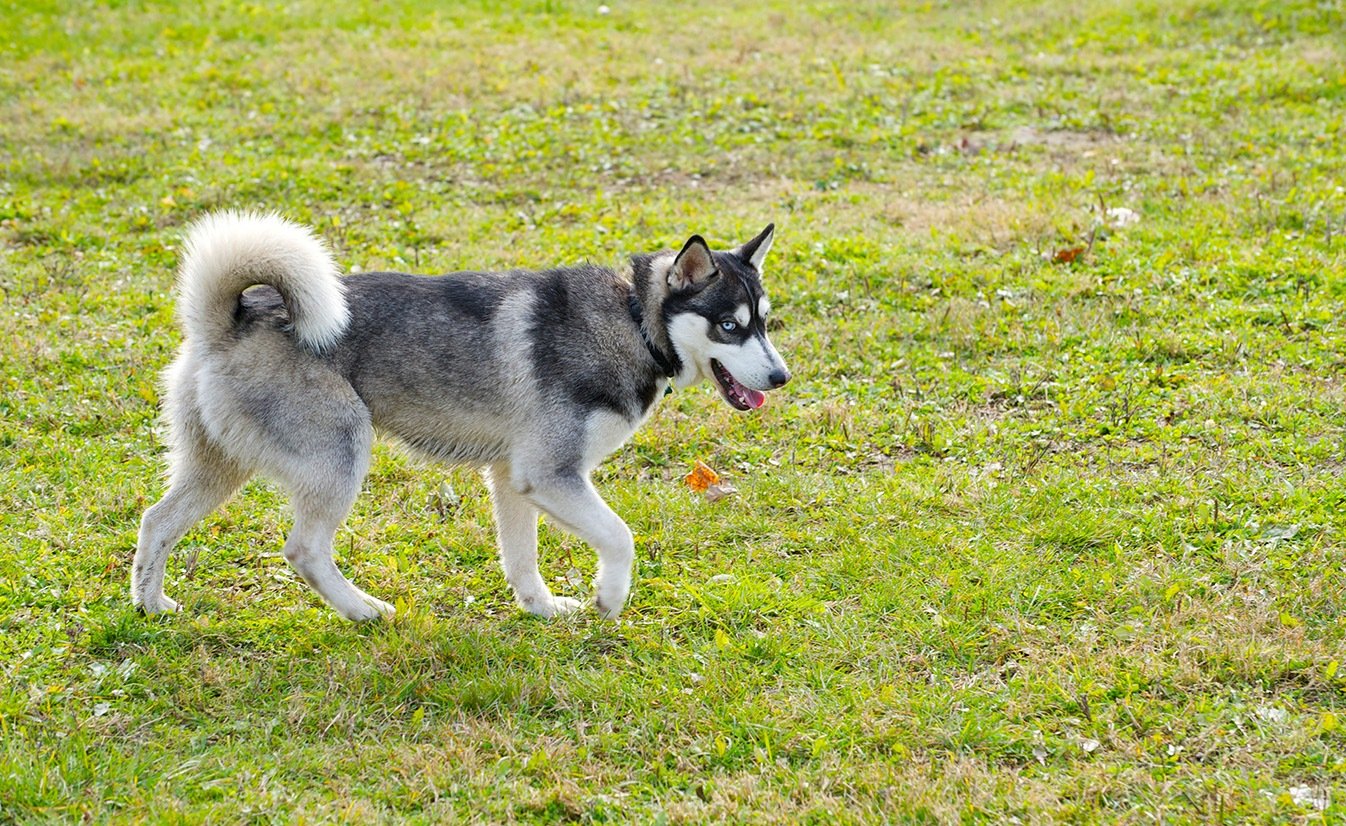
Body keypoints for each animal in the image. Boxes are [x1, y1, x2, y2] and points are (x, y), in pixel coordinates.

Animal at [133, 213, 786, 621]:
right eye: (729, 325)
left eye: (764, 321)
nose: (781, 378)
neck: (632, 319)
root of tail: (229, 321)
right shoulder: (552, 476)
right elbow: (620, 537)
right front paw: (608, 599)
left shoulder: (514, 479)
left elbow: (522, 560)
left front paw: (544, 611)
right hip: (341, 452)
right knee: (303, 550)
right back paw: (363, 610)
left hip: (219, 468)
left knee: (156, 521)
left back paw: (150, 607)